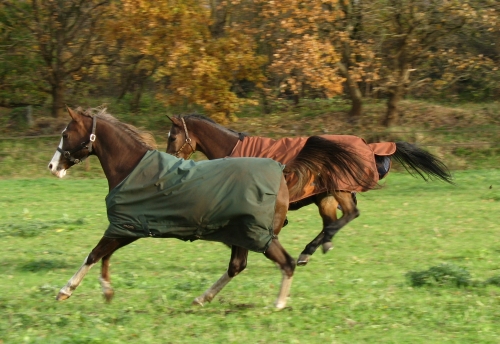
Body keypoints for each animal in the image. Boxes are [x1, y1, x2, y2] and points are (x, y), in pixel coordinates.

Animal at [47, 107, 368, 310]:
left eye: (65, 133)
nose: (52, 166)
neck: (133, 168)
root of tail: (282, 169)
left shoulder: (125, 227)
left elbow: (95, 253)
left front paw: (65, 291)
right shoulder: (130, 226)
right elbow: (104, 256)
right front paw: (107, 291)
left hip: (261, 234)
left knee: (286, 261)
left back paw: (279, 301)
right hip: (245, 233)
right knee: (238, 265)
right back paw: (203, 298)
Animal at [166, 114, 456, 264]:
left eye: (173, 136)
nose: (169, 159)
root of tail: (369, 146)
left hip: (339, 189)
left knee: (350, 214)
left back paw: (313, 247)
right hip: (325, 197)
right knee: (334, 220)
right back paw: (319, 245)